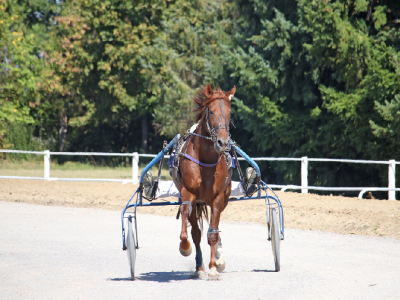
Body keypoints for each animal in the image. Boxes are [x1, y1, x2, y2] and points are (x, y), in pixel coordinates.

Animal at [177, 83, 234, 280]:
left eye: (230, 113)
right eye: (211, 111)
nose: (223, 142)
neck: (206, 160)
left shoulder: (218, 199)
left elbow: (213, 234)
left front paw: (214, 268)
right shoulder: (188, 193)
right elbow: (191, 228)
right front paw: (185, 247)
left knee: (214, 228)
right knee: (196, 230)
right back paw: (199, 267)